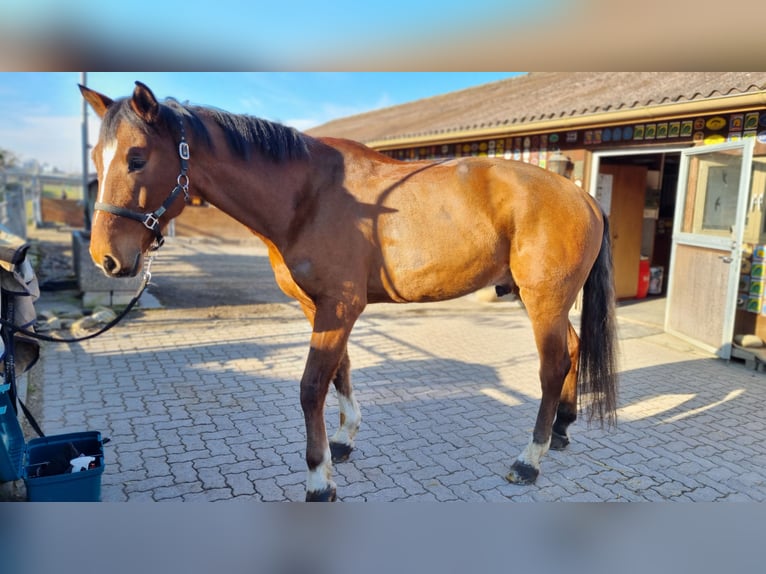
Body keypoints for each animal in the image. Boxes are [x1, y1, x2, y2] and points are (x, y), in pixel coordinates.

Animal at [81, 82, 616, 504]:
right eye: (96, 159)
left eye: (136, 158)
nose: (105, 258)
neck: (308, 196)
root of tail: (582, 195)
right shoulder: (317, 306)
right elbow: (340, 370)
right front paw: (343, 440)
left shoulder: (338, 307)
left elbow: (311, 387)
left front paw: (319, 478)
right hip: (541, 300)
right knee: (572, 349)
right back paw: (562, 430)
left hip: (542, 299)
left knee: (552, 367)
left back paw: (530, 458)